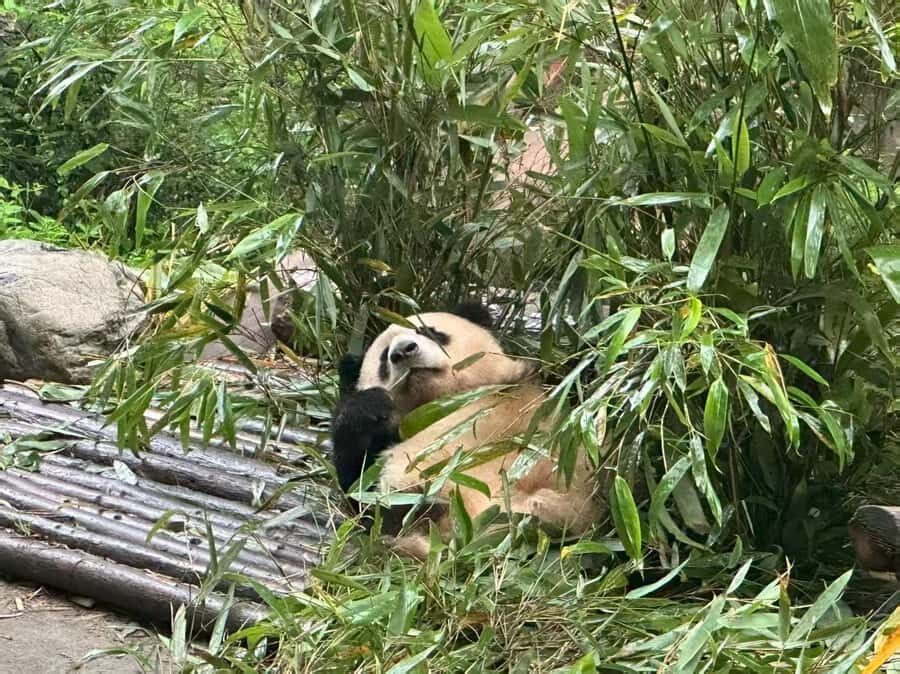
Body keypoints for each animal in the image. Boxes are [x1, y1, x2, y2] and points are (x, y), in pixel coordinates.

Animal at [331, 303, 600, 559]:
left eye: (430, 332)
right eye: (384, 357)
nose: (404, 351)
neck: (442, 403)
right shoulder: (389, 444)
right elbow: (358, 489)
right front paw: (370, 405)